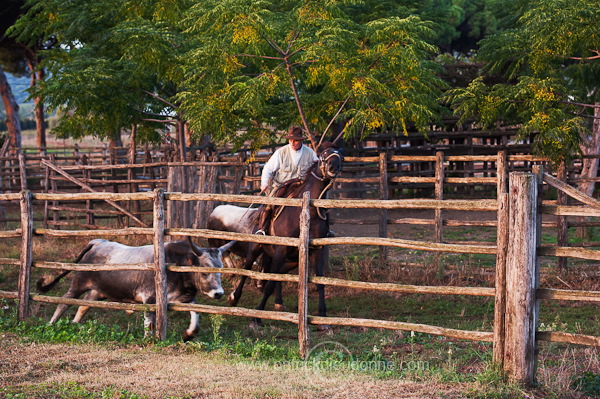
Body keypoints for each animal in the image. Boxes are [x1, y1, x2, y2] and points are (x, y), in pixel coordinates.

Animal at [229, 142, 342, 324]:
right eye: (324, 154)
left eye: (340, 155)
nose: (334, 166)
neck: (307, 212)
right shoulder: (280, 250)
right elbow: (268, 285)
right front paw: (257, 315)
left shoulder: (316, 251)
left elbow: (320, 283)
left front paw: (323, 316)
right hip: (257, 248)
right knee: (247, 269)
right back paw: (234, 297)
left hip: (289, 261)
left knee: (279, 277)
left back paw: (279, 303)